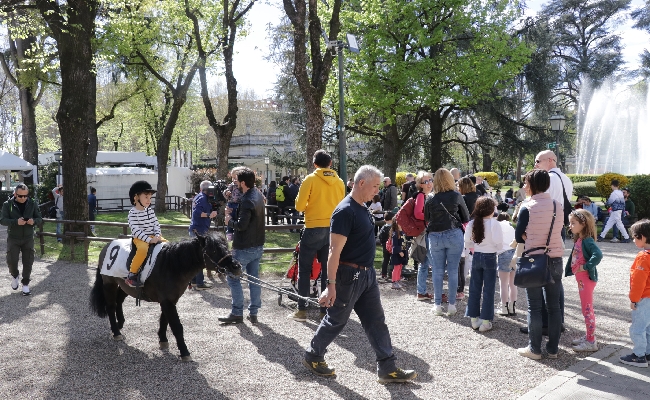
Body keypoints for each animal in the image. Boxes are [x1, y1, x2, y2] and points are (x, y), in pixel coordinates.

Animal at [90, 233, 242, 360]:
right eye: (214, 250)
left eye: (226, 247)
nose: (236, 267)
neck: (171, 265)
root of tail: (108, 246)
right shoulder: (167, 302)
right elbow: (176, 326)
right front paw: (184, 352)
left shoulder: (169, 300)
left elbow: (164, 320)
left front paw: (163, 340)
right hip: (109, 283)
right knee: (111, 306)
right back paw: (116, 332)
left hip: (125, 286)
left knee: (119, 302)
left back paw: (120, 323)